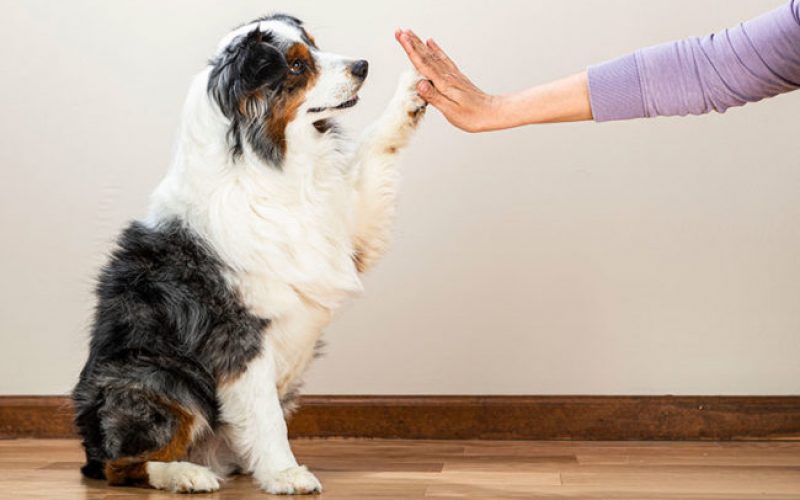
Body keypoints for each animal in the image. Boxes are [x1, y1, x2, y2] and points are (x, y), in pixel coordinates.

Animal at [72, 13, 428, 494]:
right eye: (296, 66)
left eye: (314, 44)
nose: (362, 66)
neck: (270, 164)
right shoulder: (238, 332)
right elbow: (266, 415)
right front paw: (286, 474)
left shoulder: (345, 230)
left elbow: (374, 147)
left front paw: (414, 86)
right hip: (153, 376)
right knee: (122, 465)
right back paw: (188, 474)